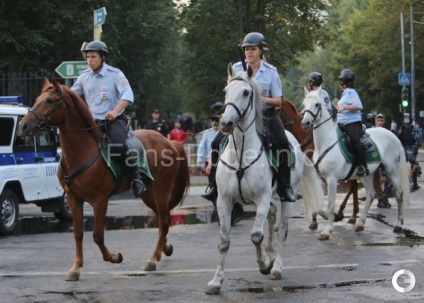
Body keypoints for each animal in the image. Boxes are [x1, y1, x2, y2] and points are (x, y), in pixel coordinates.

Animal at [19, 78, 189, 282]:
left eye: (50, 101)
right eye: (37, 99)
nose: (24, 126)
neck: (82, 151)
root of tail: (169, 142)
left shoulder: (100, 200)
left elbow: (97, 235)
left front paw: (114, 257)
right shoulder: (73, 199)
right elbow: (78, 233)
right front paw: (75, 268)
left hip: (161, 190)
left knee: (163, 221)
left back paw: (153, 259)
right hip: (148, 194)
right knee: (164, 218)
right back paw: (165, 248)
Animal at [205, 64, 322, 296]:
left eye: (246, 92)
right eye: (226, 90)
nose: (225, 123)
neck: (241, 153)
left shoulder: (262, 198)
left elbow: (256, 235)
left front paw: (264, 264)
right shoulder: (224, 200)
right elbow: (224, 241)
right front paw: (216, 281)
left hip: (286, 196)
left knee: (282, 229)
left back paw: (276, 267)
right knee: (272, 217)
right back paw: (270, 253)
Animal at [300, 86, 410, 241]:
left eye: (317, 104)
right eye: (304, 105)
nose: (305, 123)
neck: (326, 141)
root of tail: (392, 134)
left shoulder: (332, 179)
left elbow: (330, 203)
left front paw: (327, 230)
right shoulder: (321, 178)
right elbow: (319, 202)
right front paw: (332, 217)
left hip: (392, 170)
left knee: (399, 194)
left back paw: (398, 225)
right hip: (367, 174)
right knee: (371, 195)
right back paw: (360, 223)